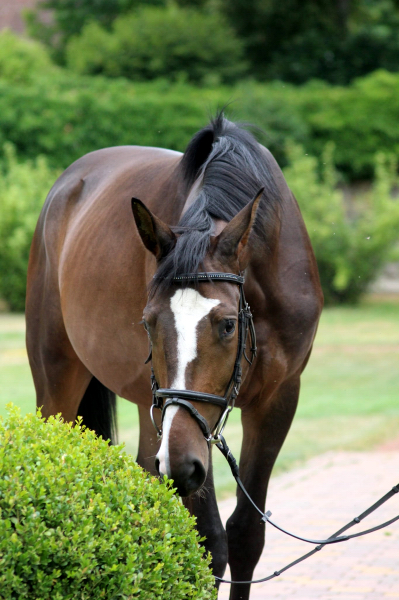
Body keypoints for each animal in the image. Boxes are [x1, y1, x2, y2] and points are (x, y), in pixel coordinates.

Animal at [26, 113, 324, 600]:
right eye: (148, 322)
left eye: (227, 324)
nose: (181, 464)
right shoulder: (186, 427)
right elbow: (209, 543)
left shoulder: (277, 399)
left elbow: (246, 536)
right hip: (61, 379)